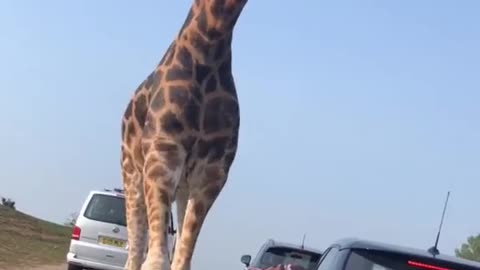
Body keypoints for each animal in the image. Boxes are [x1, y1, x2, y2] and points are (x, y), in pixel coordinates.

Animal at [119, 0, 248, 270]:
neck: (209, 48)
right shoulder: (162, 153)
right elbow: (156, 260)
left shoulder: (213, 172)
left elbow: (182, 259)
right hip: (132, 174)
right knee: (134, 254)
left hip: (182, 188)